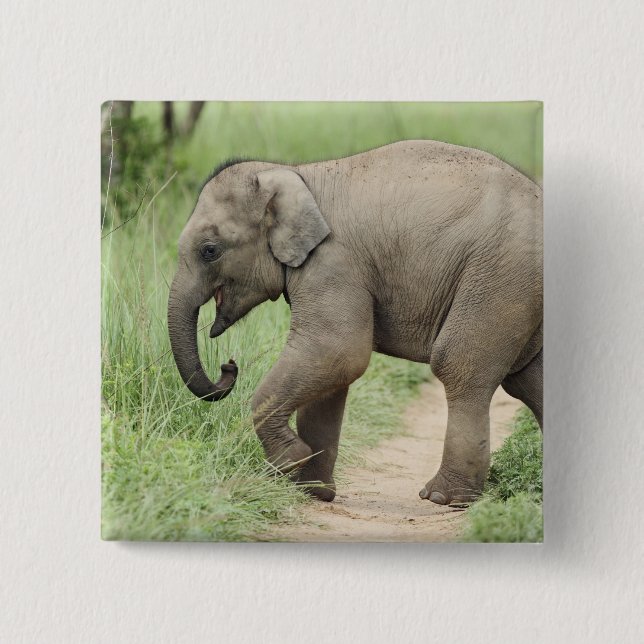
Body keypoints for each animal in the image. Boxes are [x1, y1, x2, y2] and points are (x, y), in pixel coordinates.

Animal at [168, 140, 543, 505]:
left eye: (210, 250)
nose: (228, 366)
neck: (296, 174)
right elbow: (331, 373)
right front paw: (311, 491)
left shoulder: (333, 263)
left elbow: (338, 352)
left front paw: (291, 460)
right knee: (528, 380)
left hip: (500, 280)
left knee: (459, 365)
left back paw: (442, 498)